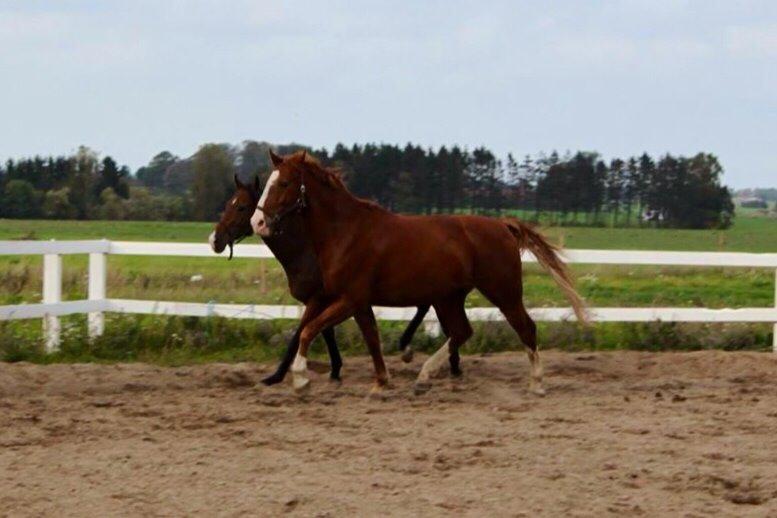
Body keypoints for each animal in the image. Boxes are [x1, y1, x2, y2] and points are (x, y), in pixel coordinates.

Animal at [208, 175, 430, 386]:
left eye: (241, 207)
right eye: (228, 205)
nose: (215, 240)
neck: (306, 252)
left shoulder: (320, 299)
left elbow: (301, 333)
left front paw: (276, 376)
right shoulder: (324, 300)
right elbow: (325, 330)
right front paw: (334, 371)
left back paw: (406, 347)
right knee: (424, 305)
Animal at [252, 152, 584, 396]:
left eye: (284, 183)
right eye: (268, 183)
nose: (258, 222)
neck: (346, 232)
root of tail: (503, 225)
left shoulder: (350, 298)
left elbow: (309, 330)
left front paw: (301, 380)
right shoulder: (347, 300)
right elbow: (367, 337)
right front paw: (381, 382)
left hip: (503, 292)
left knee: (525, 328)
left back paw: (537, 383)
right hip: (449, 298)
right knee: (462, 331)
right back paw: (424, 377)